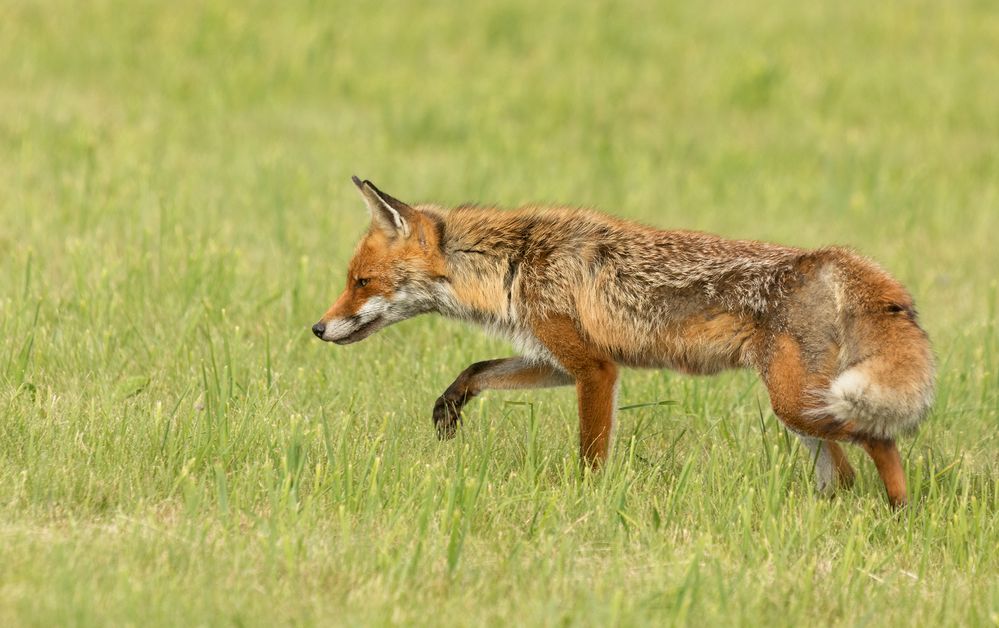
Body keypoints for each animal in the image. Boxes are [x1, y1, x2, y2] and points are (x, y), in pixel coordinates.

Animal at [312, 174, 936, 508]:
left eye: (360, 282)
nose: (317, 328)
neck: (513, 262)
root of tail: (830, 257)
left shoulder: (595, 370)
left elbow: (590, 454)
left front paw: (584, 500)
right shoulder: (558, 356)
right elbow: (477, 368)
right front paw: (449, 407)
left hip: (801, 404)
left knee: (880, 439)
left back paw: (900, 512)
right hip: (799, 406)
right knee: (844, 473)